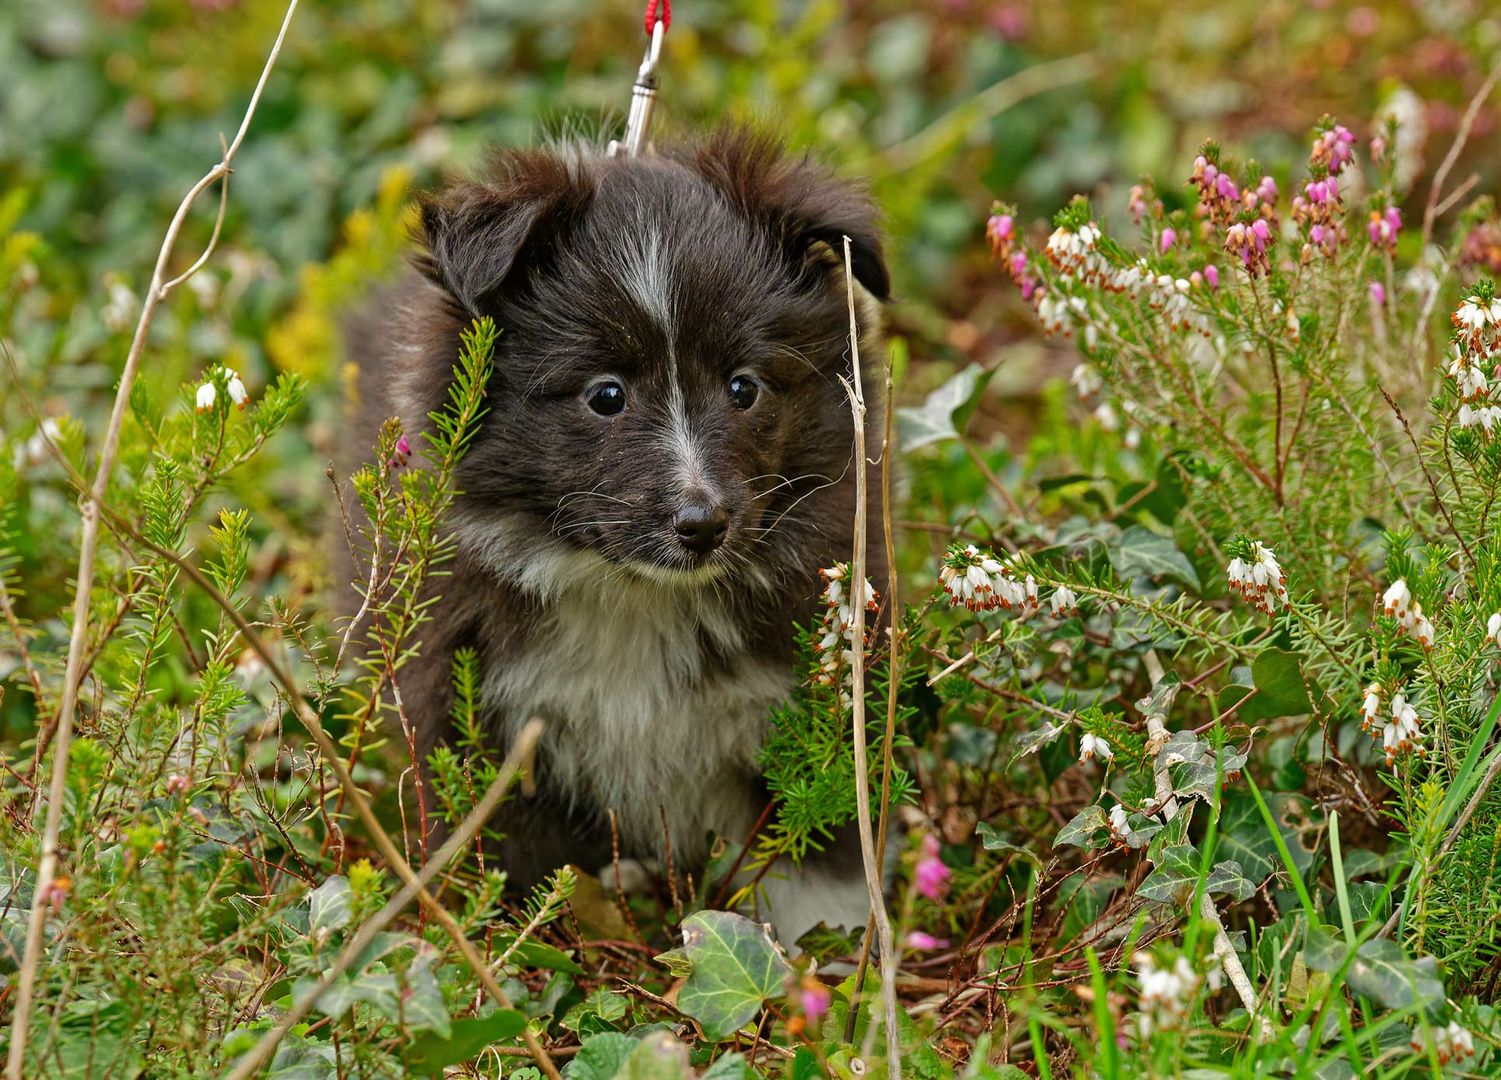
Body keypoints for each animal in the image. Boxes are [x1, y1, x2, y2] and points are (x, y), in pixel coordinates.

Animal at [348, 126, 888, 942]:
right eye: (605, 395)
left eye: (744, 386)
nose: (702, 524)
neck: (635, 596)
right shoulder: (472, 704)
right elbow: (511, 848)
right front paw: (520, 937)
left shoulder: (814, 682)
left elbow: (810, 832)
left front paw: (822, 942)